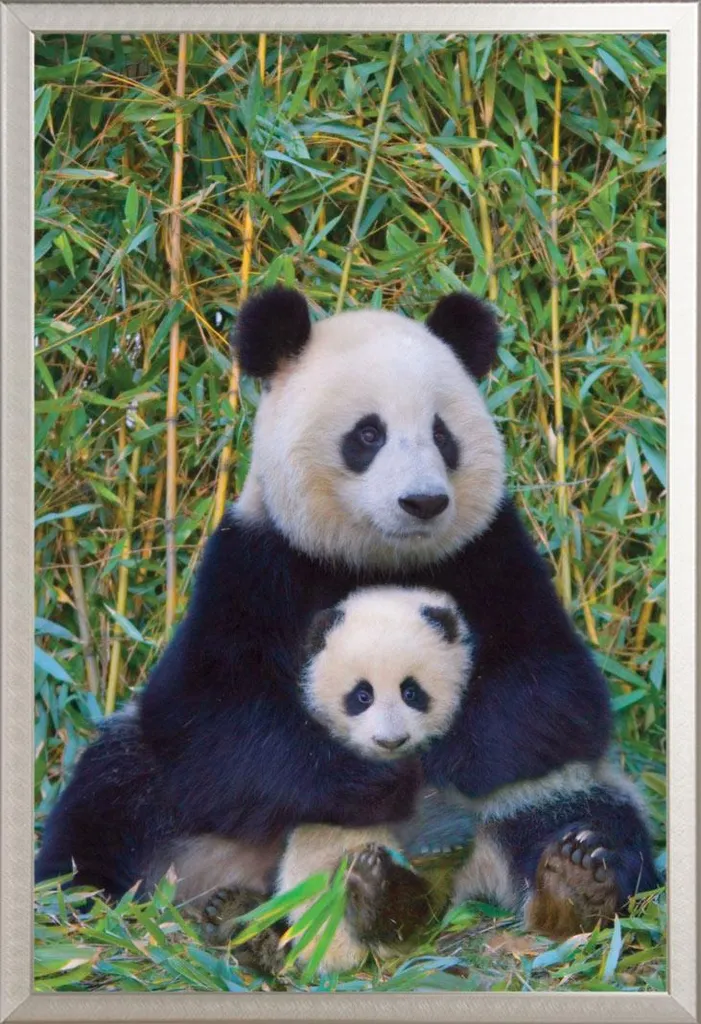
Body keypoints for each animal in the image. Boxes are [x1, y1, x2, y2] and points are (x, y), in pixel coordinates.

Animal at [35, 286, 657, 970]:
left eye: (442, 435)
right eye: (368, 434)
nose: (423, 502)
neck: (377, 558)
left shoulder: (492, 552)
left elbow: (555, 692)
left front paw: (441, 754)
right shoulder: (254, 562)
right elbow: (208, 716)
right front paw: (378, 780)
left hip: (545, 794)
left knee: (585, 814)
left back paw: (572, 884)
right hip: (177, 816)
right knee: (110, 794)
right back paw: (108, 908)